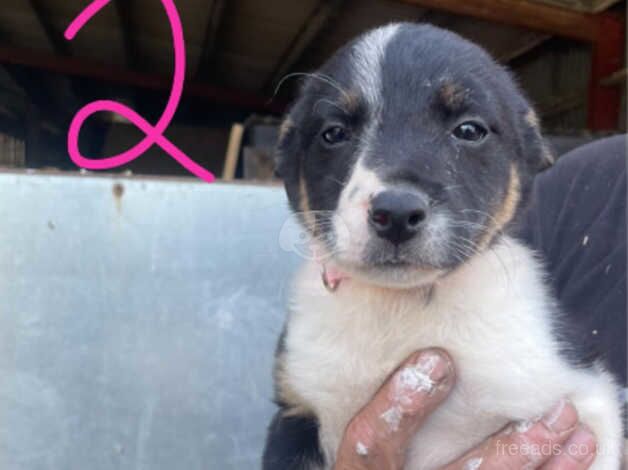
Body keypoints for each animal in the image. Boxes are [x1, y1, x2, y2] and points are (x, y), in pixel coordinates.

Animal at [262, 23, 624, 468]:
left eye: (469, 130)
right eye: (334, 133)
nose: (397, 212)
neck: (406, 307)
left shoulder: (584, 400)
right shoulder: (297, 411)